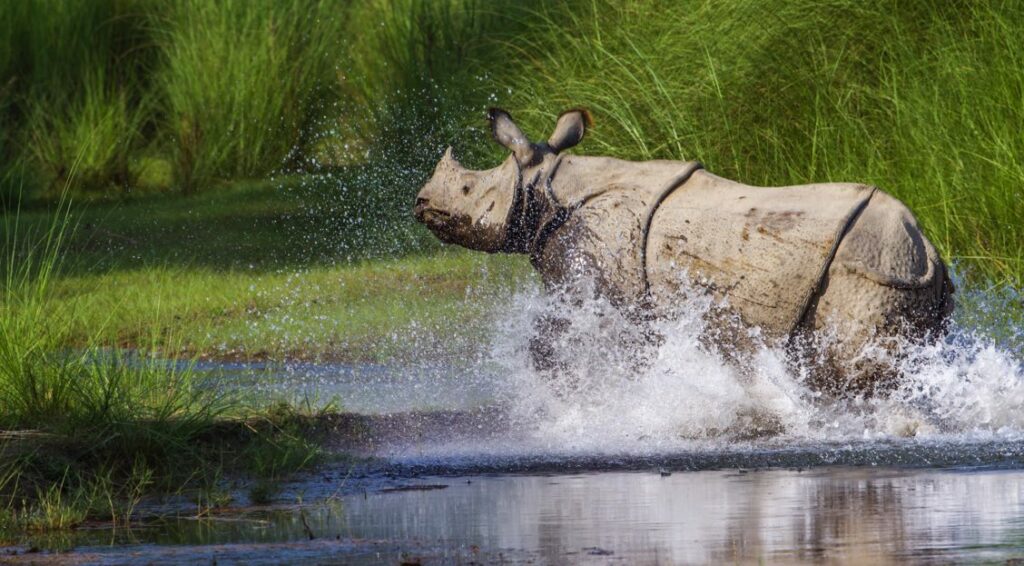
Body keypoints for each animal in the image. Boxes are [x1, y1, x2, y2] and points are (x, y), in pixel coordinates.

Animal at [413, 106, 950, 393]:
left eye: (466, 191)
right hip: (908, 275)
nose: (420, 202)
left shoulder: (604, 279)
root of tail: (923, 245)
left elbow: (560, 343)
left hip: (869, 271)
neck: (550, 184)